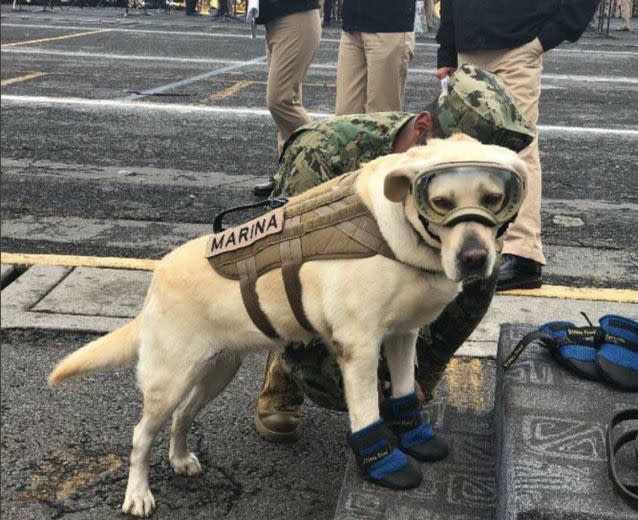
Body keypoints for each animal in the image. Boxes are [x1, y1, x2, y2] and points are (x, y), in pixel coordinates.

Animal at [48, 134, 528, 516]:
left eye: (493, 199)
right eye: (441, 203)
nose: (474, 259)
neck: (397, 232)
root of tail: (155, 281)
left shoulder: (401, 337)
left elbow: (406, 394)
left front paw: (417, 437)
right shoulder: (358, 348)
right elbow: (368, 413)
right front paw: (385, 464)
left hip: (216, 370)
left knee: (183, 416)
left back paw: (181, 459)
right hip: (168, 379)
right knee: (139, 435)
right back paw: (138, 494)